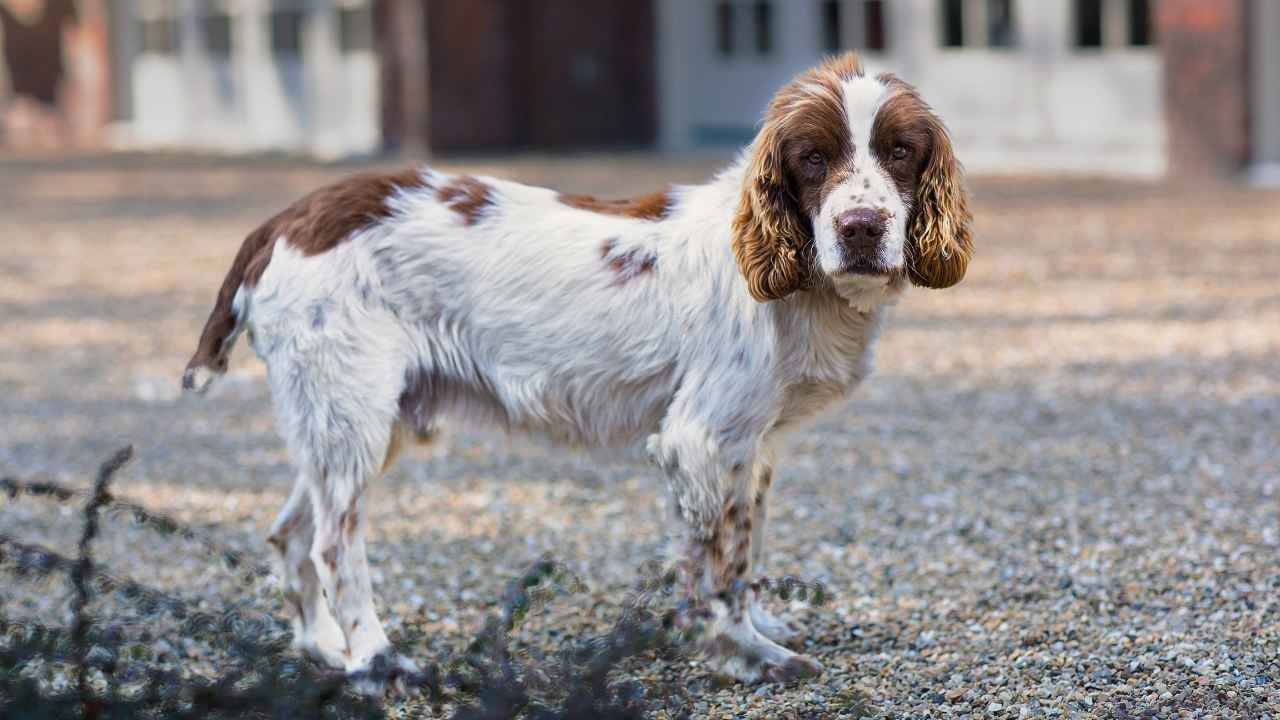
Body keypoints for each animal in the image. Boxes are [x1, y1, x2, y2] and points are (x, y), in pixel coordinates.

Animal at [183, 53, 967, 681]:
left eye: (901, 151)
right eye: (812, 158)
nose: (861, 229)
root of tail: (286, 220)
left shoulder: (753, 448)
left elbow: (740, 552)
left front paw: (750, 632)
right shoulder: (701, 440)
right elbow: (716, 566)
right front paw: (742, 655)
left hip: (351, 424)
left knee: (290, 534)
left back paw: (324, 649)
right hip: (353, 417)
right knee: (333, 545)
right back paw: (374, 659)